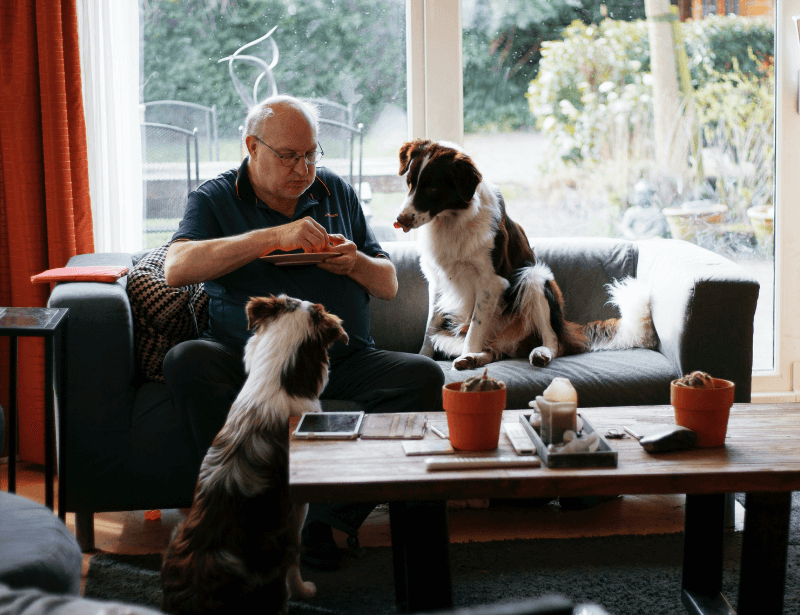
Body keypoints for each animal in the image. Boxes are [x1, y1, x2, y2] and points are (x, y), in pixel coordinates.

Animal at [396, 140, 660, 370]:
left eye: (432, 187)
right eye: (409, 183)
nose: (400, 220)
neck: (452, 220)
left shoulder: (491, 282)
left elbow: (474, 329)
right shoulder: (437, 281)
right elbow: (429, 329)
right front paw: (424, 357)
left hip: (534, 277)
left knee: (554, 342)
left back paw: (538, 353)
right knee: (494, 351)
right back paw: (475, 359)